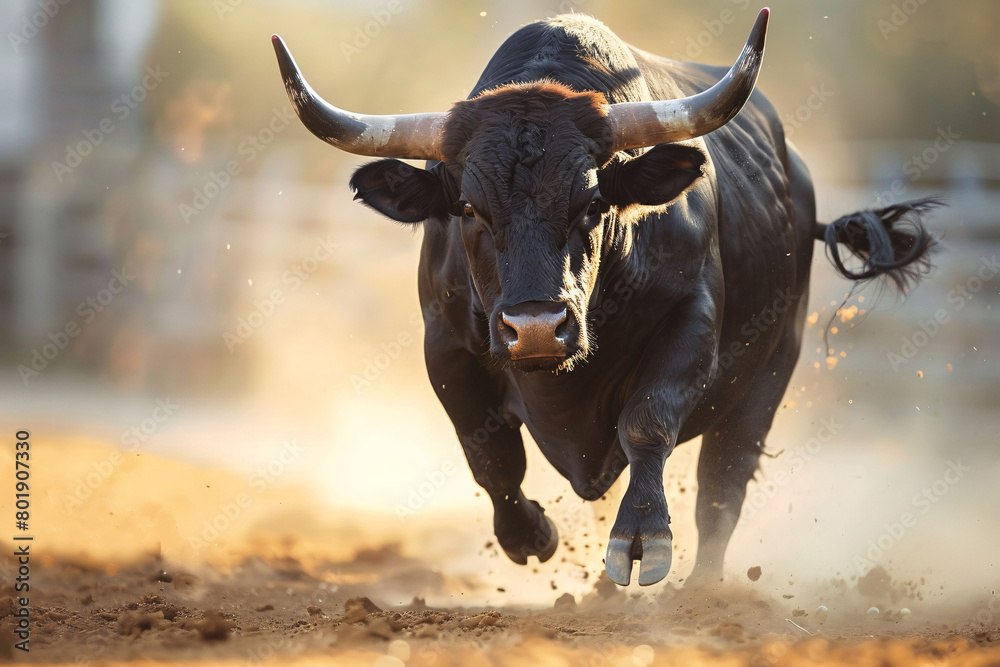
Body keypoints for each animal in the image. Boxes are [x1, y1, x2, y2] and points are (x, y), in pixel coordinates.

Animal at [271, 8, 937, 586]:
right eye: (467, 208)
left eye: (592, 204)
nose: (536, 328)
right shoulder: (447, 348)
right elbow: (489, 455)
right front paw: (530, 534)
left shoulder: (692, 325)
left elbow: (648, 425)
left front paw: (642, 538)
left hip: (771, 370)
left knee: (723, 483)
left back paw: (702, 591)